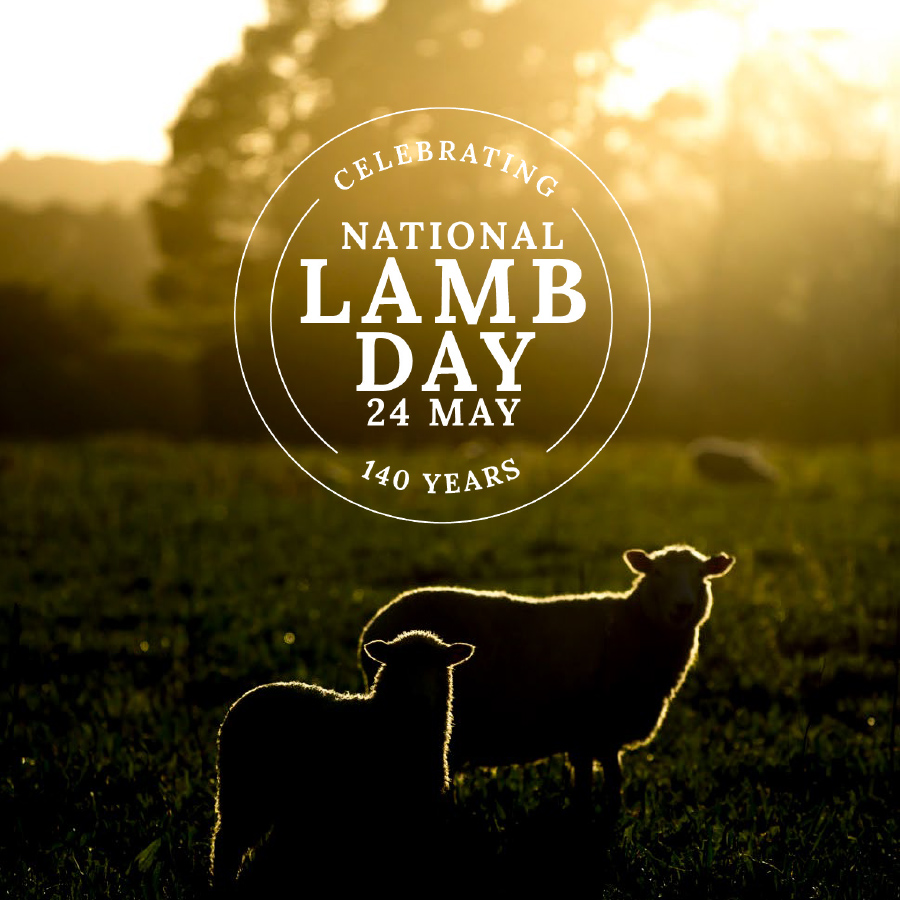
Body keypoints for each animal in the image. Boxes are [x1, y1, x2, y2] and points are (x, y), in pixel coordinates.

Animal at [210, 630, 474, 891]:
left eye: (439, 667)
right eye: (398, 666)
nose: (419, 699)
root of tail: (247, 696)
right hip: (242, 792)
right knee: (227, 844)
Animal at [359, 545, 734, 814]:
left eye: (702, 576)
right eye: (657, 572)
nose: (683, 607)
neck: (632, 625)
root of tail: (374, 627)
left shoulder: (599, 734)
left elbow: (606, 780)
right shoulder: (591, 729)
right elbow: (595, 783)